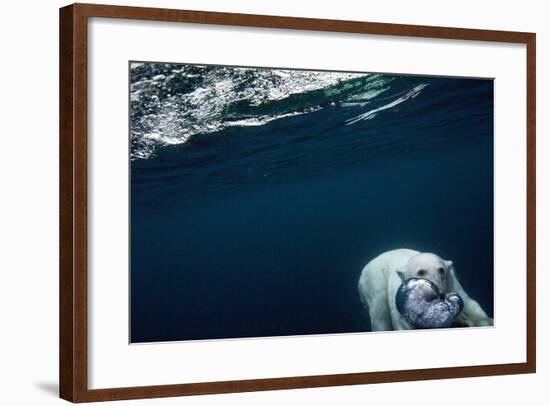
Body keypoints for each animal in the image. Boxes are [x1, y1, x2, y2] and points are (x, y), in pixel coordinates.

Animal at [358, 249, 496, 332]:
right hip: (374, 282)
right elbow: (403, 323)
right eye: (421, 272)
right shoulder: (400, 299)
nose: (439, 293)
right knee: (379, 315)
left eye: (441, 270)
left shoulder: (452, 284)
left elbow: (471, 306)